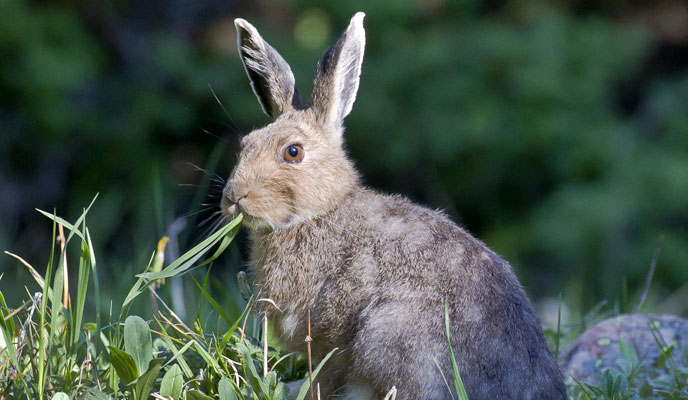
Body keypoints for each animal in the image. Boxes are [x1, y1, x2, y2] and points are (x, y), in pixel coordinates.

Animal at [222, 12, 566, 400]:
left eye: (293, 152)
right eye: (246, 144)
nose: (234, 196)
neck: (319, 214)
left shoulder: (326, 340)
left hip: (385, 338)